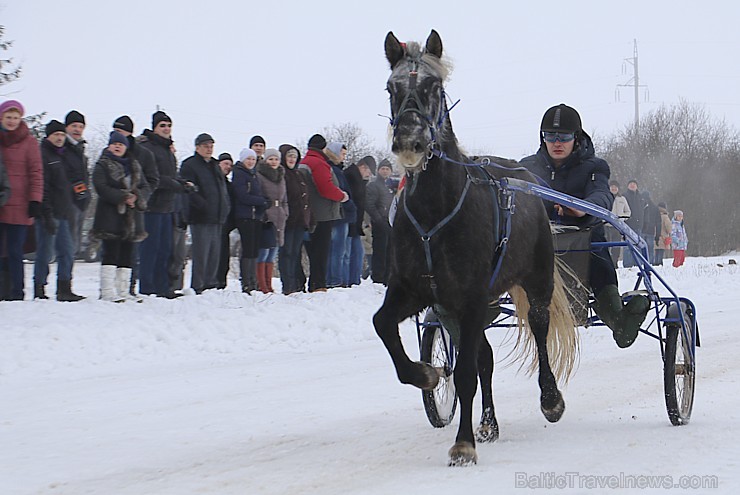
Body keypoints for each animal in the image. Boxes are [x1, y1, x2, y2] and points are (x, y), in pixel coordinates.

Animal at [376, 29, 580, 466]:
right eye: (391, 88)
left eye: (434, 87)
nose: (410, 142)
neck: (435, 211)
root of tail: (525, 176)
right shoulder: (417, 291)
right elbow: (384, 325)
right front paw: (426, 374)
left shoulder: (470, 295)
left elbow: (467, 373)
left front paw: (463, 443)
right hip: (465, 307)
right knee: (484, 355)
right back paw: (489, 423)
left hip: (536, 278)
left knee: (538, 326)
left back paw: (550, 399)